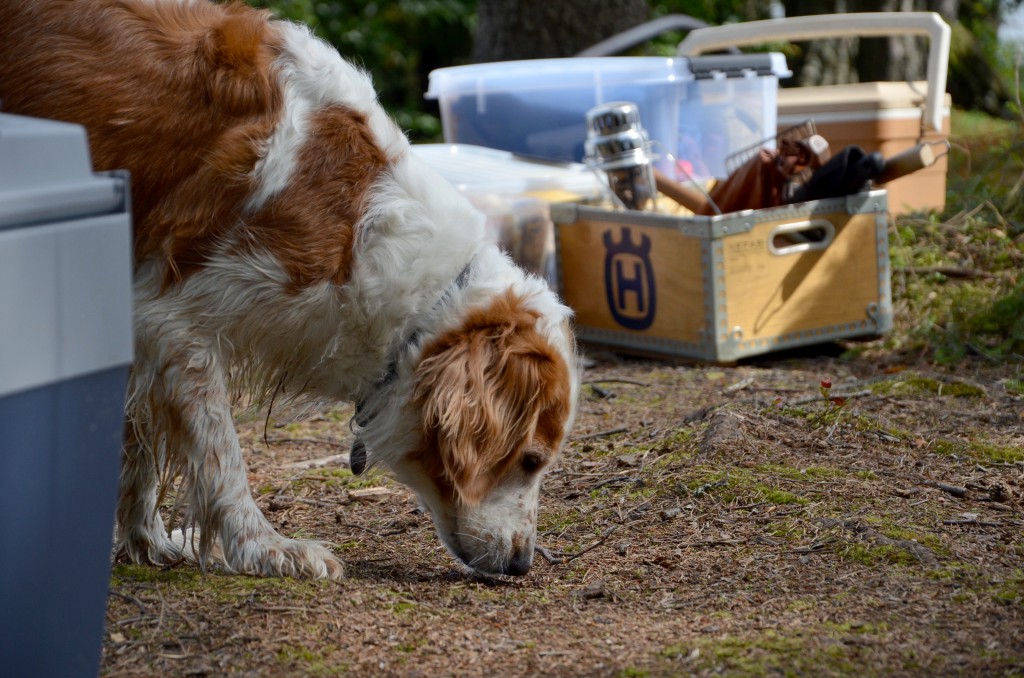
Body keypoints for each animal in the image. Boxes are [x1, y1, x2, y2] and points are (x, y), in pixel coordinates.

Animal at [0, 2, 577, 581]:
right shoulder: (172, 318)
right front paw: (263, 547)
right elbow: (219, 454)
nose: (523, 563)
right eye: (530, 459)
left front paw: (147, 541)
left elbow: (137, 449)